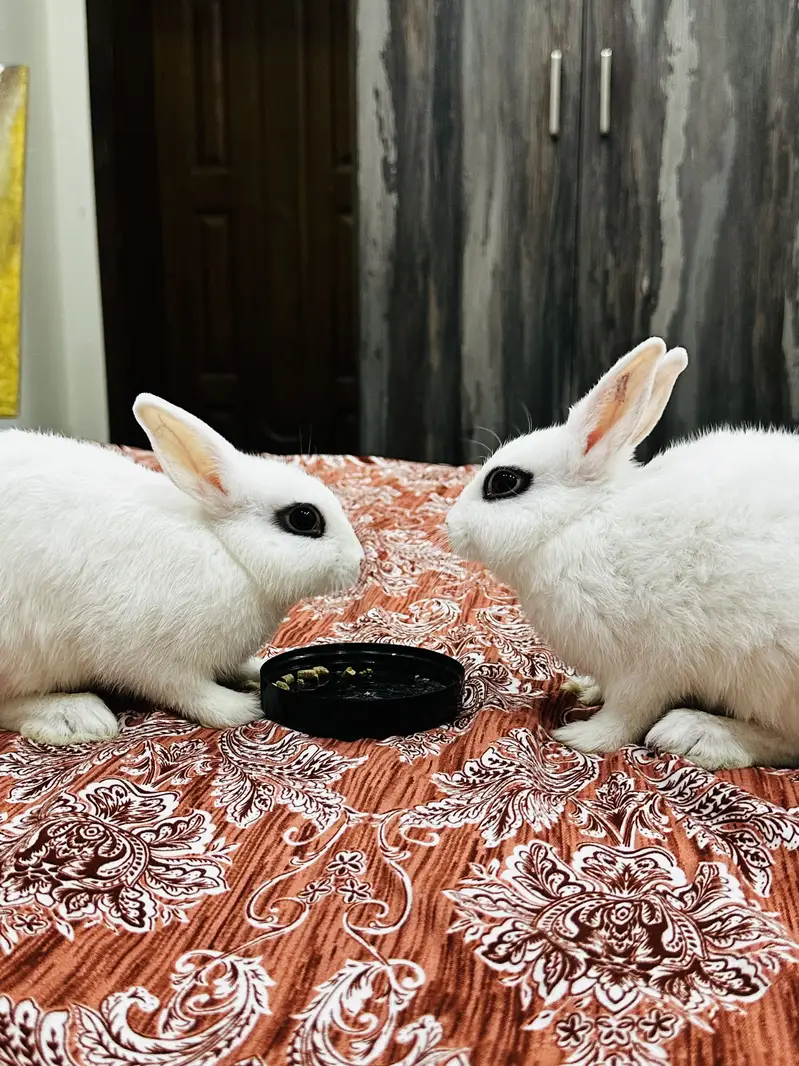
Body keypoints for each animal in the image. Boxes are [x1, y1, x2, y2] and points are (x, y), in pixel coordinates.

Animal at [0, 394, 363, 746]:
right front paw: (244, 706)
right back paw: (77, 717)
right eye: (303, 518)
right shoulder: (154, 661)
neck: (230, 552)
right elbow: (191, 694)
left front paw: (260, 668)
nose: (359, 561)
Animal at [446, 336, 799, 770]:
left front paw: (580, 736)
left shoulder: (648, 666)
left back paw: (696, 734)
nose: (450, 524)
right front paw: (583, 690)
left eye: (504, 481)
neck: (578, 523)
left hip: (772, 678)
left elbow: (626, 715)